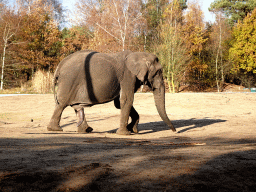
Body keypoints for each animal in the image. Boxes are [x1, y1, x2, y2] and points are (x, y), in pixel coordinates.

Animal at [47, 49, 176, 135]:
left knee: (77, 106)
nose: (175, 131)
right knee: (61, 104)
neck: (139, 54)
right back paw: (55, 129)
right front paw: (125, 133)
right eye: (159, 72)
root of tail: (60, 65)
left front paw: (133, 129)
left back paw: (86, 130)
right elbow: (126, 100)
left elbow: (119, 103)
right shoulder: (128, 76)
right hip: (69, 81)